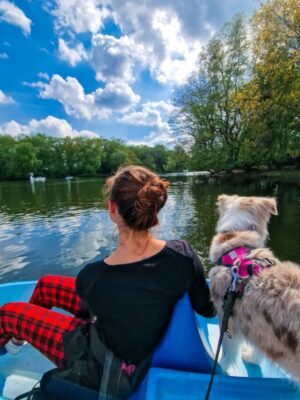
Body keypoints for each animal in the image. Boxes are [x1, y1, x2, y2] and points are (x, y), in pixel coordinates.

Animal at [209, 195, 300, 380]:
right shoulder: (260, 329)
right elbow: (260, 349)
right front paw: (252, 358)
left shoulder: (227, 316)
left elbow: (228, 350)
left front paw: (220, 365)